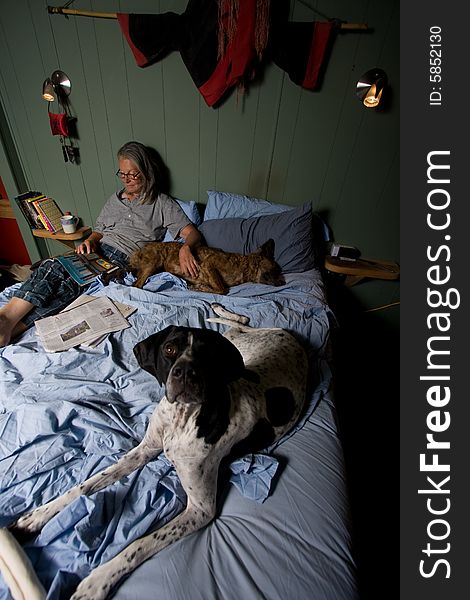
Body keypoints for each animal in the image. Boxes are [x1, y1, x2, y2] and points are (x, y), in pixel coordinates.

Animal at [3, 304, 308, 600]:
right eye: (169, 350)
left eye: (205, 354)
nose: (184, 373)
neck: (181, 417)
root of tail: (289, 336)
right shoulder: (144, 450)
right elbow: (85, 486)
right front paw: (38, 515)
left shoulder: (200, 509)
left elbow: (139, 544)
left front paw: (97, 582)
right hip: (240, 349)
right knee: (241, 323)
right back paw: (219, 309)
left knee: (242, 322)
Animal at [126, 239, 284, 296]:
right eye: (276, 270)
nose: (283, 283)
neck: (244, 266)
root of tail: (141, 249)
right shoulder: (209, 265)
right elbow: (222, 289)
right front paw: (200, 288)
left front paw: (199, 286)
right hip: (153, 262)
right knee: (136, 284)